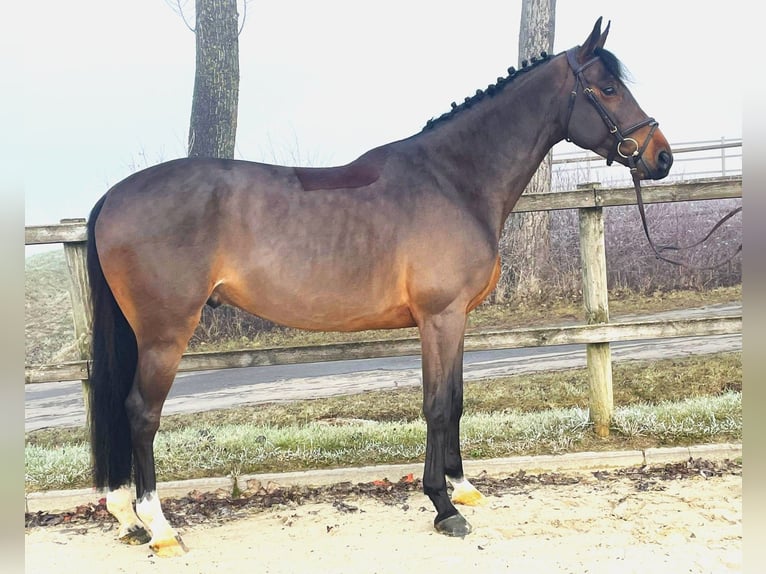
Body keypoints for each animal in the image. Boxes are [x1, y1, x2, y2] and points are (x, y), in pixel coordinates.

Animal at [85, 17, 673, 556]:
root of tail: (112, 195)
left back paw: (127, 515)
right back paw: (159, 526)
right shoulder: (439, 317)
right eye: (608, 88)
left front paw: (463, 487)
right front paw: (443, 507)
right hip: (165, 332)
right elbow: (436, 406)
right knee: (140, 412)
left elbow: (456, 400)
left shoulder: (456, 319)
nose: (661, 156)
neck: (453, 180)